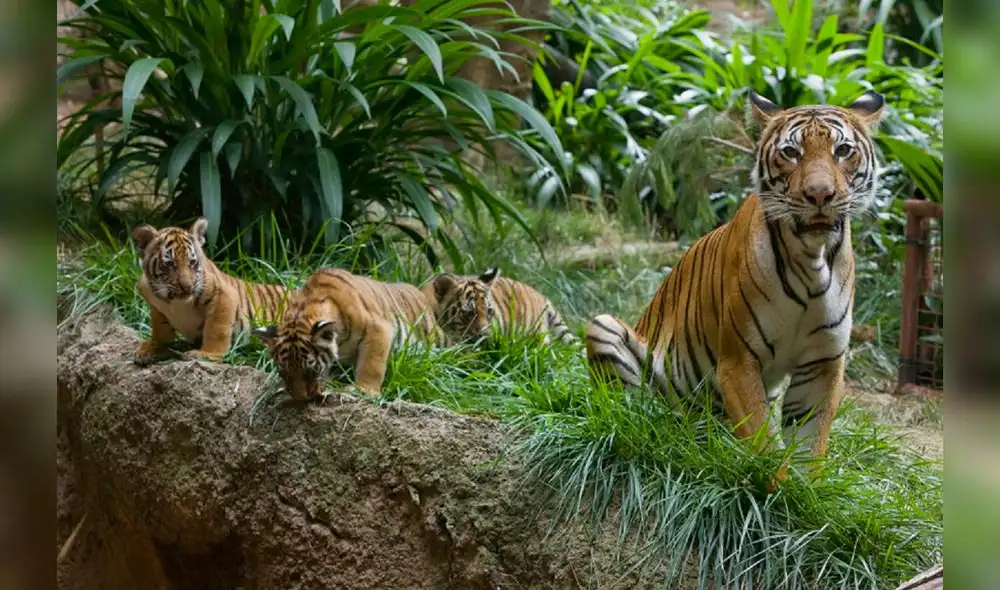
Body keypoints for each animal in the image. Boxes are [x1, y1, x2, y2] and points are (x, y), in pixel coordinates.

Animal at [132, 217, 289, 365]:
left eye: (192, 262)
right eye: (169, 264)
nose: (187, 286)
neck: (176, 302)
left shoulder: (223, 296)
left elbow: (215, 329)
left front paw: (207, 353)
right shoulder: (156, 308)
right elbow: (160, 332)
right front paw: (151, 349)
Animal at [251, 267, 441, 399]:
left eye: (311, 370)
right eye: (283, 372)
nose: (300, 399)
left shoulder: (378, 328)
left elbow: (372, 363)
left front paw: (364, 390)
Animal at [586, 90, 885, 490]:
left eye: (843, 150)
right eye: (791, 152)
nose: (820, 194)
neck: (812, 261)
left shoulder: (823, 363)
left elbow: (810, 444)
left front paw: (806, 497)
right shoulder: (738, 359)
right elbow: (764, 441)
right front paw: (776, 493)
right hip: (605, 327)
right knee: (635, 411)